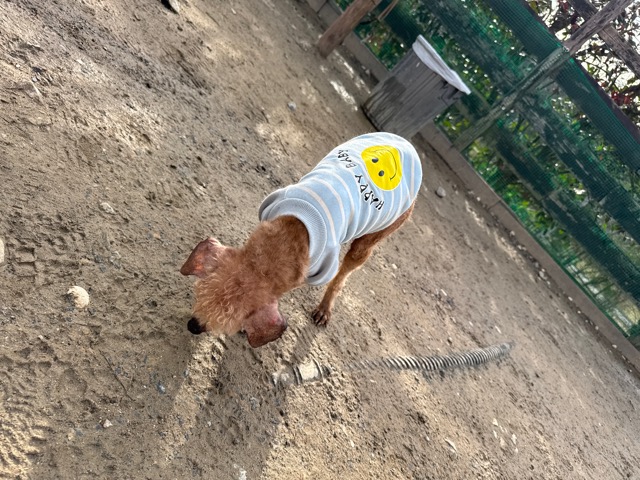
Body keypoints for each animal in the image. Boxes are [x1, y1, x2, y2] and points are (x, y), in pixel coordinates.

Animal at [181, 132, 422, 347]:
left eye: (227, 323)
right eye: (201, 293)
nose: (193, 326)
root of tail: (409, 147)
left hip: (379, 233)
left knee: (345, 272)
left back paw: (324, 310)